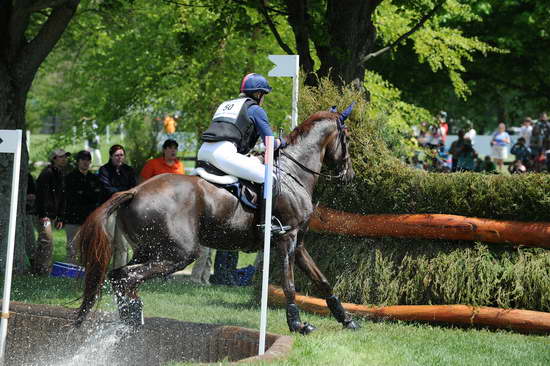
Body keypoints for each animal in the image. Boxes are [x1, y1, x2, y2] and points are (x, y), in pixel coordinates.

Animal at [75, 103, 360, 334]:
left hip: (150, 249)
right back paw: (133, 318)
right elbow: (289, 285)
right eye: (346, 137)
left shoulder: (298, 243)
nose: (350, 175)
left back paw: (130, 319)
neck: (293, 171)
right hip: (178, 253)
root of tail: (134, 191)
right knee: (127, 276)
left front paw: (346, 319)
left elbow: (322, 281)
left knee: (120, 276)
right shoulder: (286, 238)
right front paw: (298, 324)